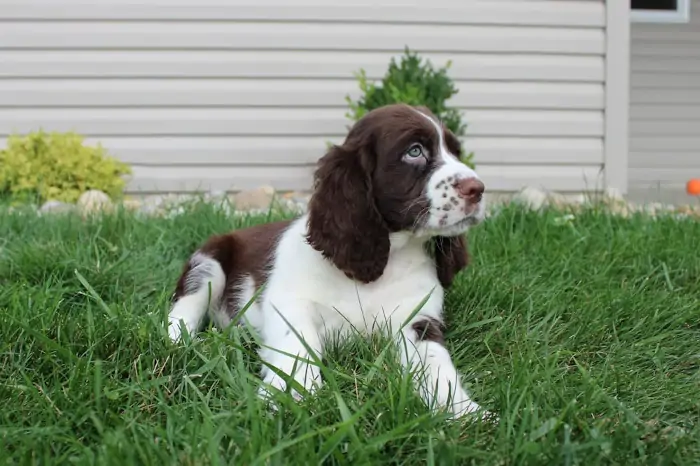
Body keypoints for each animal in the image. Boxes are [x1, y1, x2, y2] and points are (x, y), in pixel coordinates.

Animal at [167, 103, 490, 418]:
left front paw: (462, 409)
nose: (477, 189)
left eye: (456, 152)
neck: (386, 260)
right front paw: (292, 395)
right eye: (414, 151)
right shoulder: (288, 301)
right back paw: (187, 344)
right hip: (208, 262)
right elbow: (298, 341)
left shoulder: (417, 317)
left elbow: (436, 361)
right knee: (180, 313)